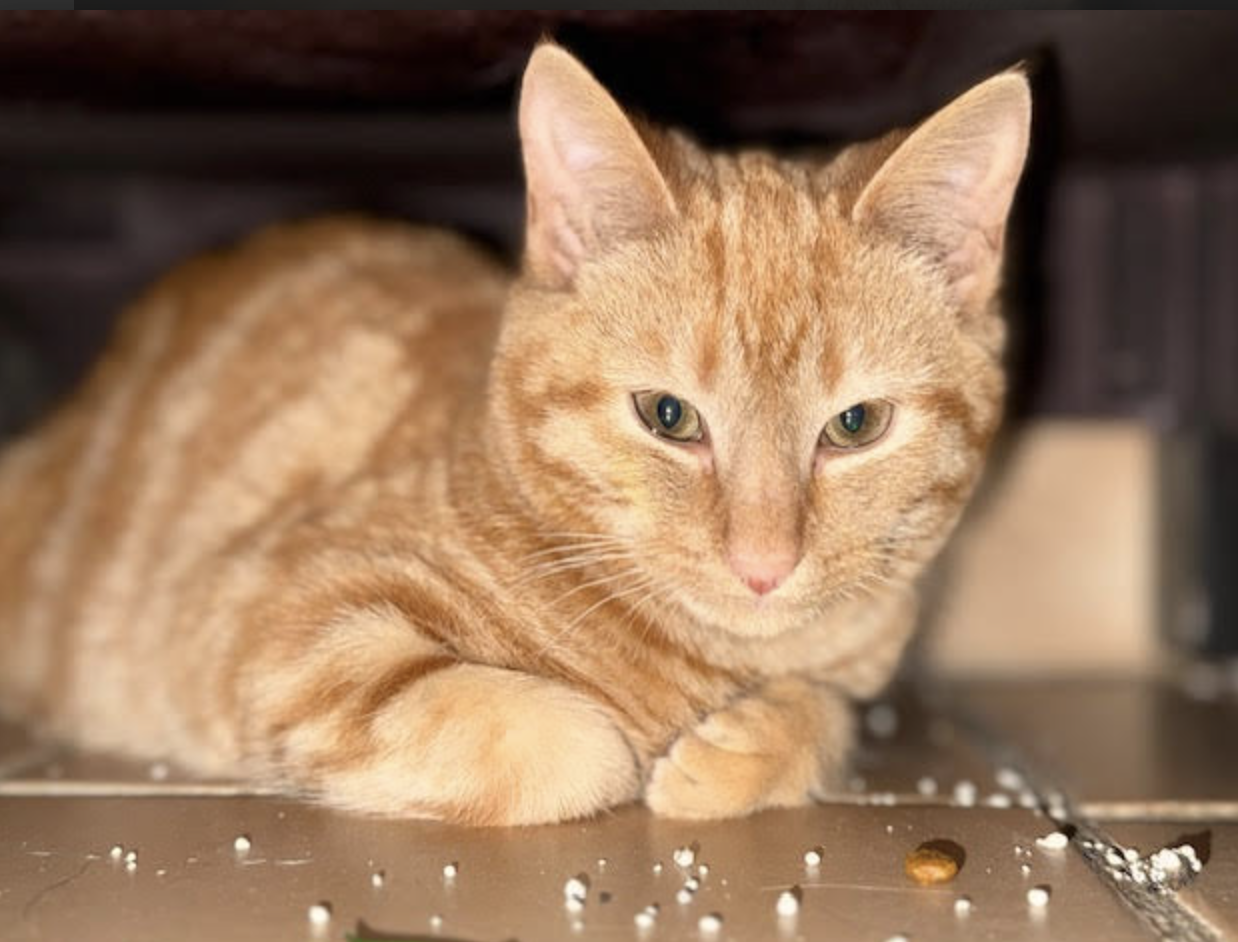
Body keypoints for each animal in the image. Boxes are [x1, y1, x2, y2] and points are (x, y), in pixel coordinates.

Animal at [0, 44, 1030, 825]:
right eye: (668, 417)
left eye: (856, 424)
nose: (763, 565)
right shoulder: (271, 616)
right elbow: (569, 743)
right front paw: (630, 750)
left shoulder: (854, 670)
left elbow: (830, 714)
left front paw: (743, 747)